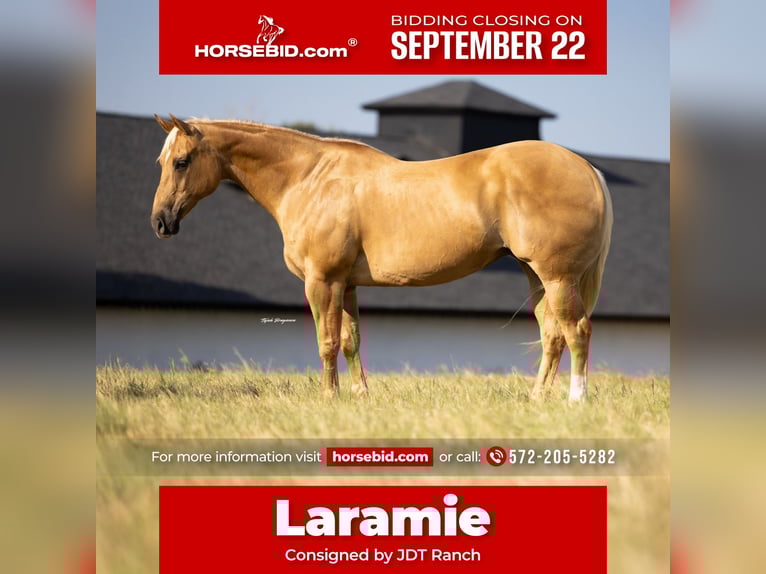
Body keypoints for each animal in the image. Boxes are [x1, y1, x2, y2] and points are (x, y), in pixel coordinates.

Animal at [151, 114, 613, 402]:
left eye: (181, 161)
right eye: (161, 160)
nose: (160, 221)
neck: (310, 179)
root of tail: (586, 167)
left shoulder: (322, 281)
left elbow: (326, 342)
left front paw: (329, 398)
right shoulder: (347, 284)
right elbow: (350, 341)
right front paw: (359, 396)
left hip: (557, 277)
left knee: (577, 332)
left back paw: (575, 400)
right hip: (537, 276)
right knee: (553, 336)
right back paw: (537, 399)